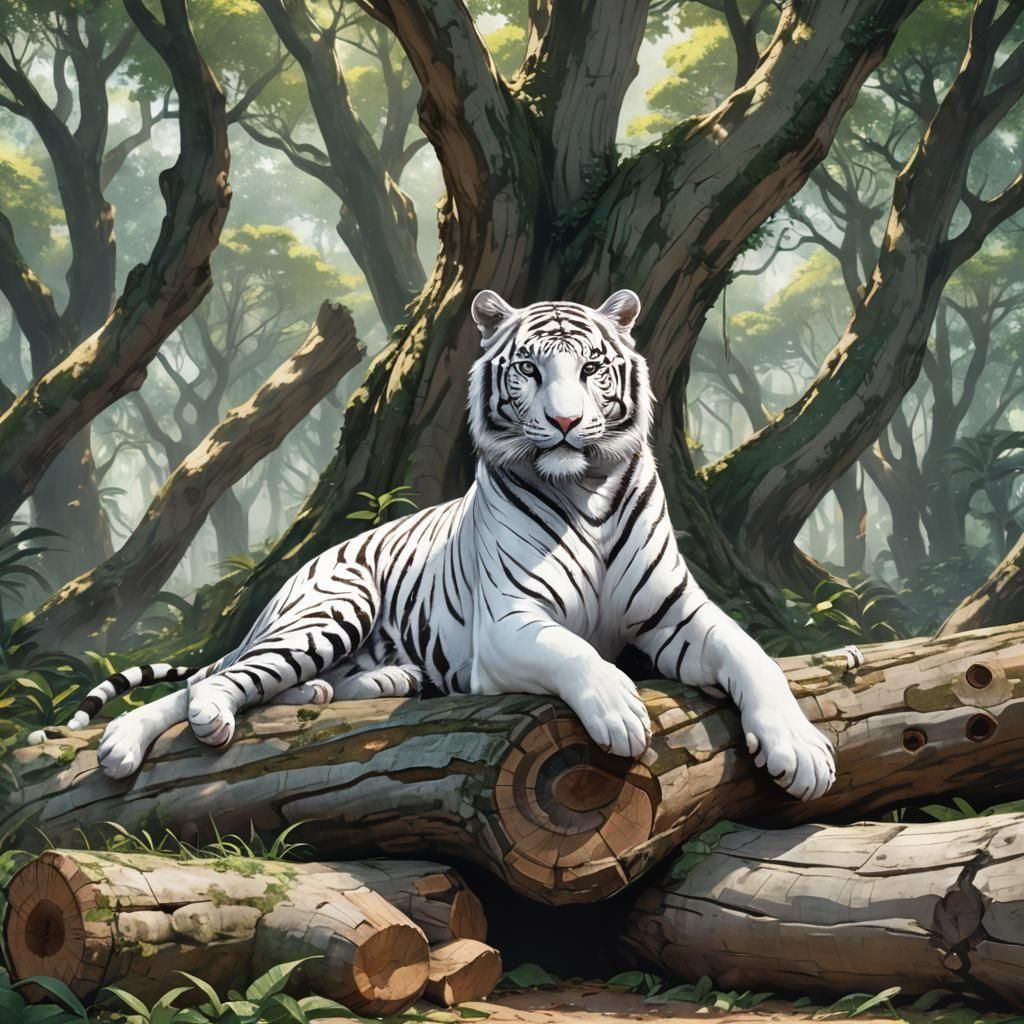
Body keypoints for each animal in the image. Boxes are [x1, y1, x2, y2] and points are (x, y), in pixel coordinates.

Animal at [32, 288, 836, 801]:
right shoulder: (508, 624)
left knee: (280, 681)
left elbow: (753, 656)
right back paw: (169, 730)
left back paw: (364, 684)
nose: (566, 423)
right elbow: (574, 651)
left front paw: (801, 752)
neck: (586, 492)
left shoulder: (676, 616)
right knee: (212, 682)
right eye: (530, 369)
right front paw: (618, 711)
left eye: (591, 369)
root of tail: (292, 579)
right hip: (332, 609)